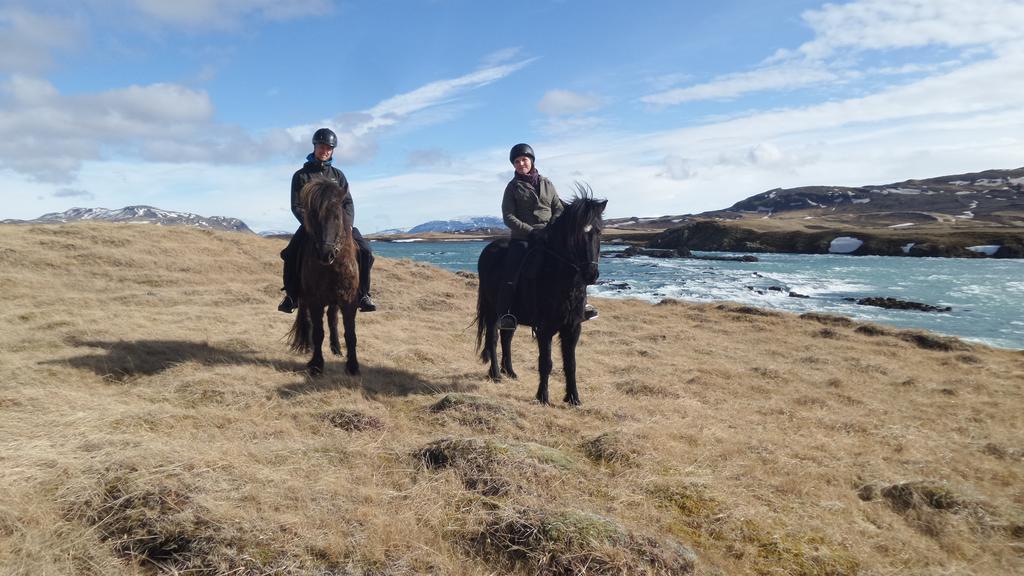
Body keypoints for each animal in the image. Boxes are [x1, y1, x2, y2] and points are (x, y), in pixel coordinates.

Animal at [288, 180, 360, 377]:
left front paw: (353, 366)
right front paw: (316, 364)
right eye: (312, 216)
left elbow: (350, 333)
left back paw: (336, 348)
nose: (325, 254)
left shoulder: (348, 300)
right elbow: (318, 332)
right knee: (310, 323)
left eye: (337, 216)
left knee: (332, 319)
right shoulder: (315, 301)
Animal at [473, 183, 602, 403]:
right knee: (493, 338)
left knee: (506, 337)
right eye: (575, 234)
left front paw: (573, 399)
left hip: (511, 315)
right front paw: (543, 397)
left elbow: (571, 364)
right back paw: (496, 374)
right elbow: (546, 363)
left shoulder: (573, 327)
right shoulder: (545, 329)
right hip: (492, 311)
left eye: (599, 232)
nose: (591, 274)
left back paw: (510, 372)